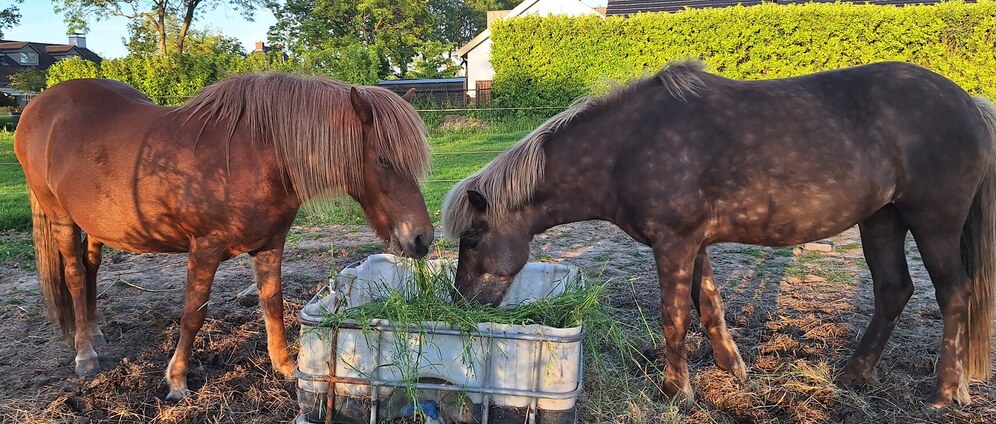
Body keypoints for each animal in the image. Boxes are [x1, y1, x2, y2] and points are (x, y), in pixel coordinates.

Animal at [14, 73, 434, 400]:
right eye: (383, 159)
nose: (421, 238)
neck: (257, 155)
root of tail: (39, 108)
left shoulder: (270, 245)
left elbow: (272, 305)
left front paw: (286, 367)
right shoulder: (204, 250)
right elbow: (193, 314)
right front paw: (177, 380)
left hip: (96, 226)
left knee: (91, 269)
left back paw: (95, 333)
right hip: (61, 219)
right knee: (73, 275)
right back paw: (85, 355)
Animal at [442, 61, 996, 408]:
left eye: (473, 238)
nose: (461, 303)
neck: (626, 146)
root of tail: (970, 104)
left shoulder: (674, 244)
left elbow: (674, 317)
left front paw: (675, 391)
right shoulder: (695, 245)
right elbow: (708, 303)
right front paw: (733, 369)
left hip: (934, 223)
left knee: (953, 293)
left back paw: (944, 393)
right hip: (882, 220)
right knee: (893, 290)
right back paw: (854, 375)